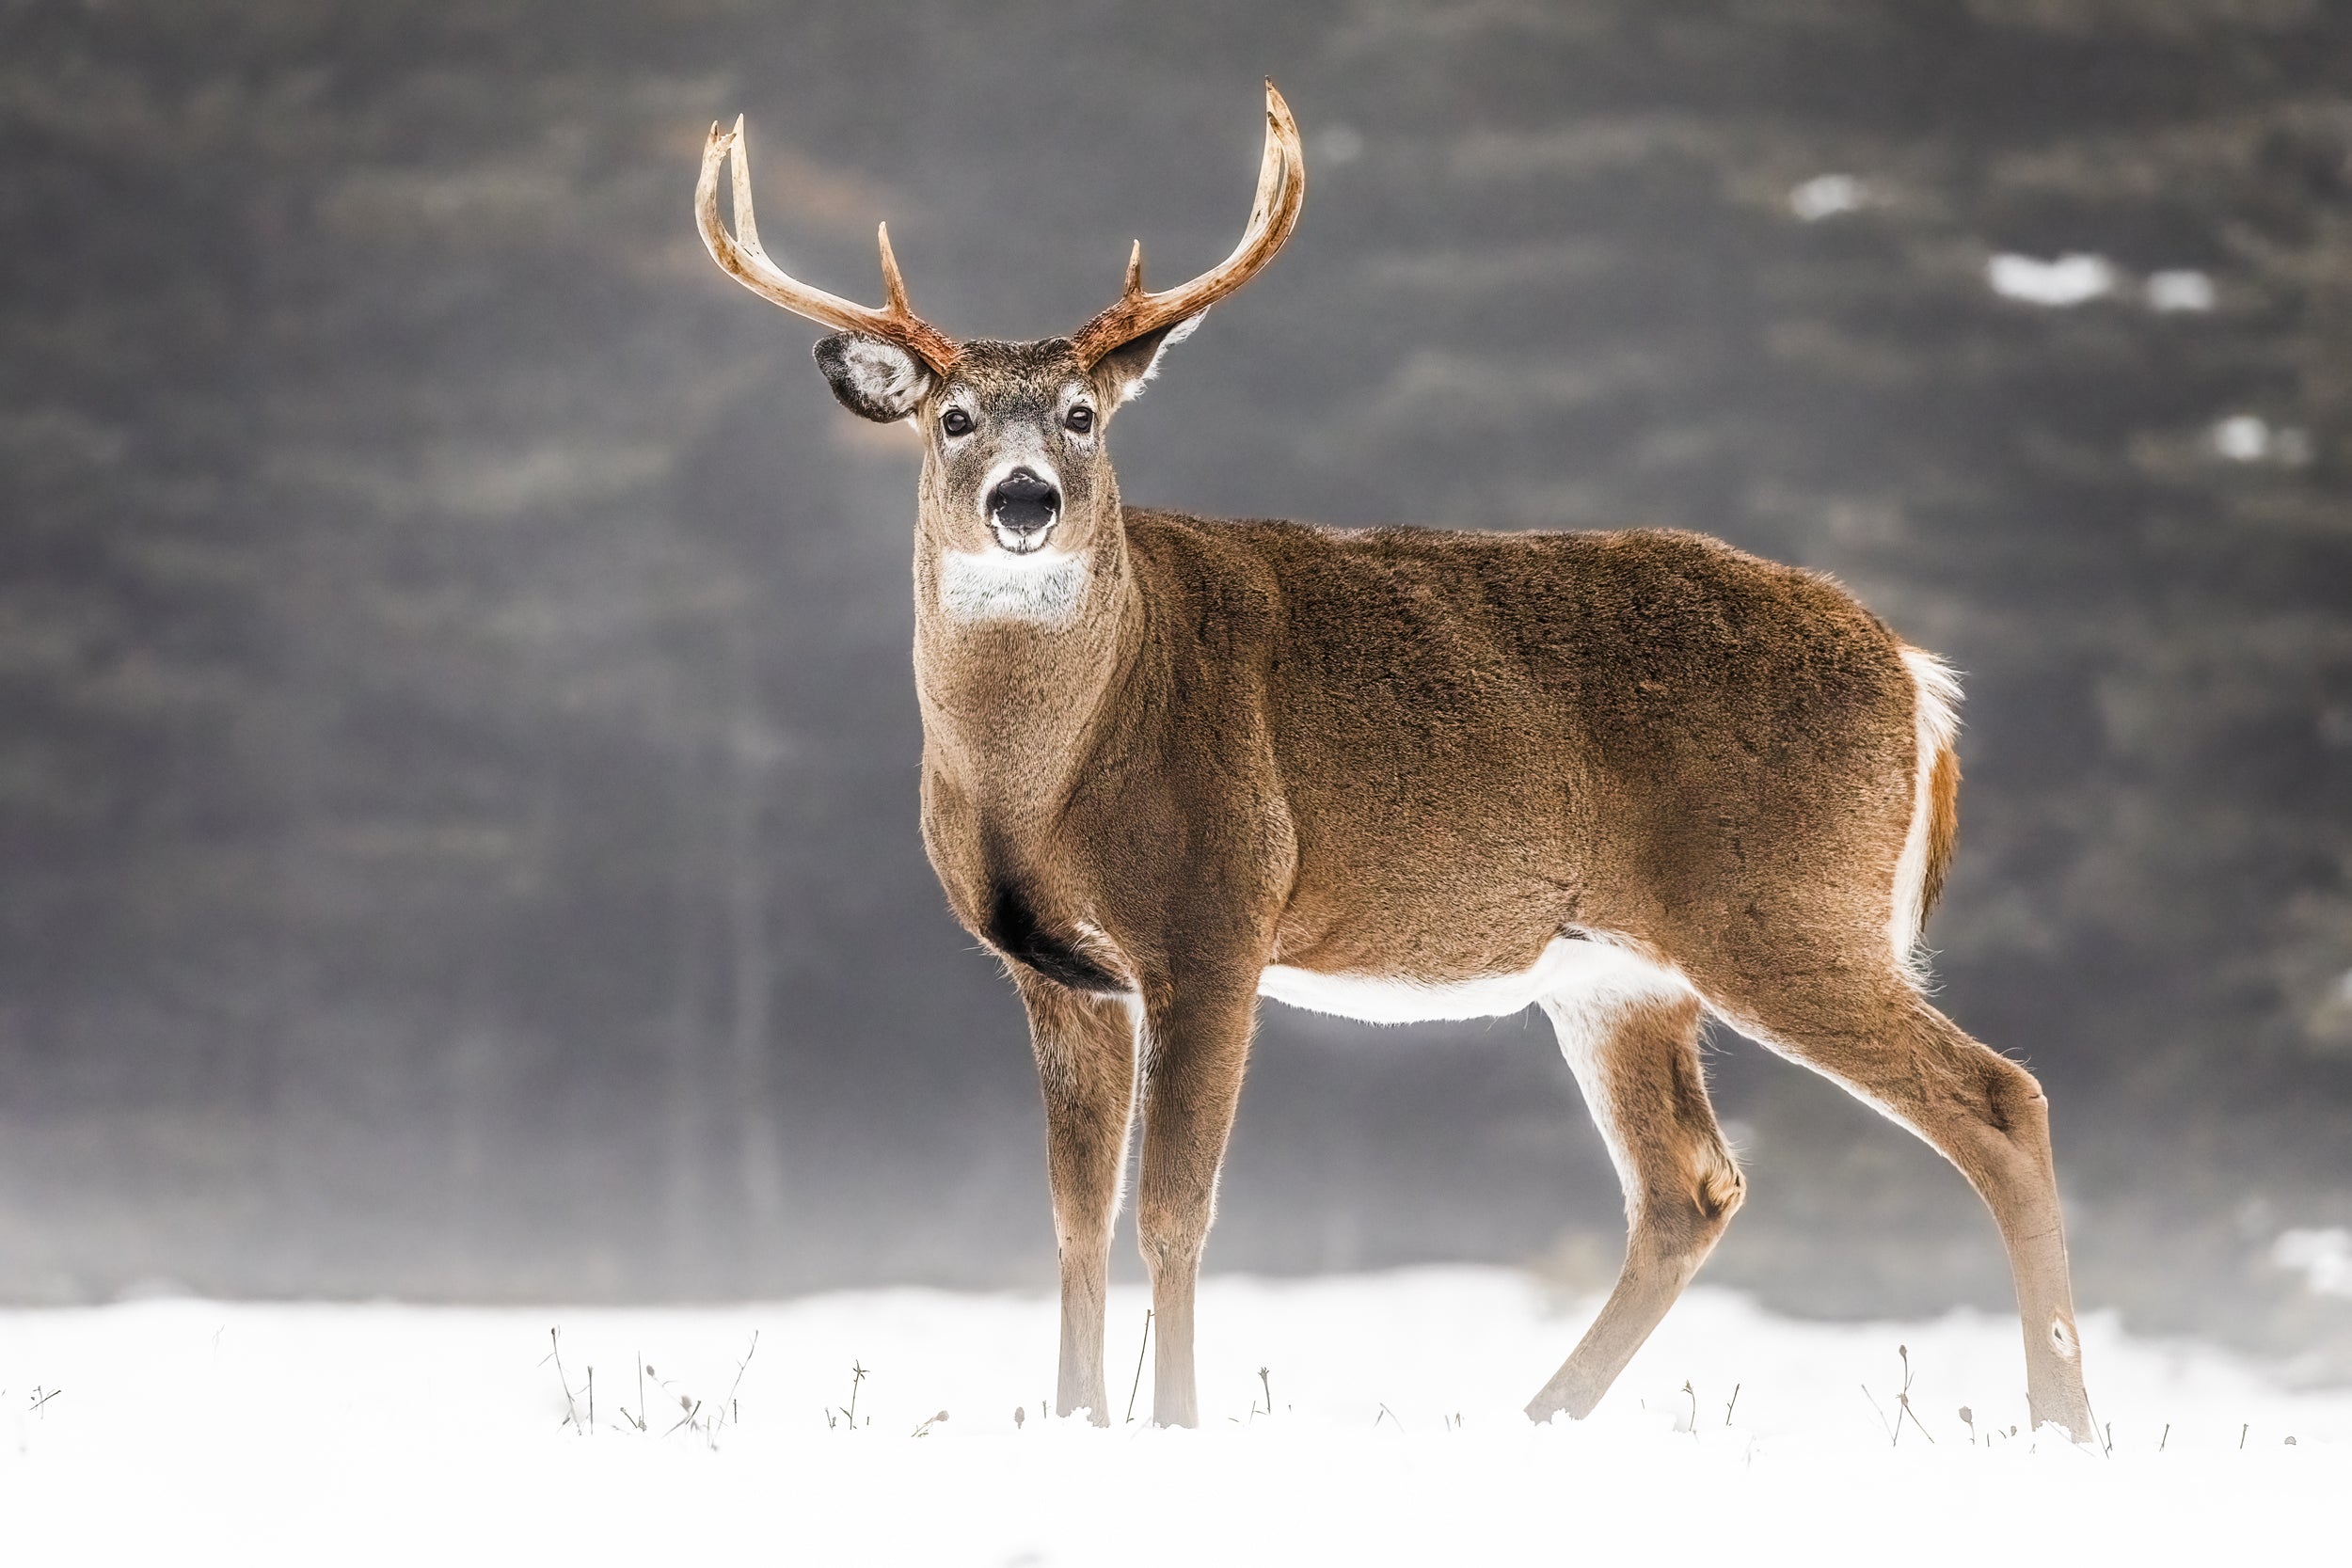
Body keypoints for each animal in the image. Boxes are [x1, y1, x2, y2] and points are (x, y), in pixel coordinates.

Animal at [693, 81, 2097, 1441]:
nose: (1025, 498)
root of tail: (1916, 674)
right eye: (953, 417)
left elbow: (1174, 1210)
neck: (1046, 778)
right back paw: (1534, 1419)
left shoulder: (1217, 914)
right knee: (1690, 1183)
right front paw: (1080, 1418)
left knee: (2000, 1097)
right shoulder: (1055, 970)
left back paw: (2065, 1422)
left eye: (1085, 414)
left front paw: (1175, 1425)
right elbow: (1074, 1221)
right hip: (1619, 970)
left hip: (1782, 902)